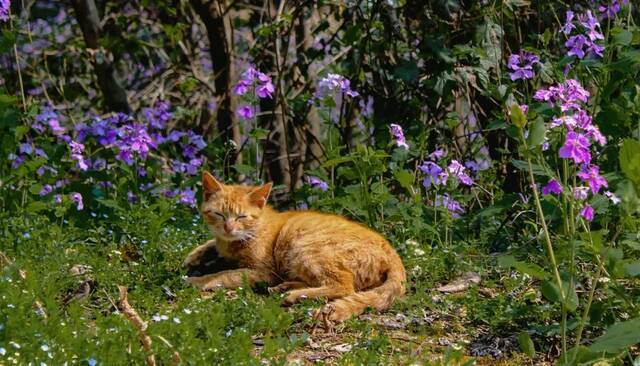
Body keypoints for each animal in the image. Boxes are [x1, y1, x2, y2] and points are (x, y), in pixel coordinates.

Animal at [185, 173, 404, 322]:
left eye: (241, 217)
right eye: (219, 214)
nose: (228, 228)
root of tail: (392, 252)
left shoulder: (263, 272)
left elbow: (225, 275)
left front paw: (198, 280)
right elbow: (212, 245)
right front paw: (195, 255)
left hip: (305, 248)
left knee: (344, 287)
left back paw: (293, 294)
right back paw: (286, 287)